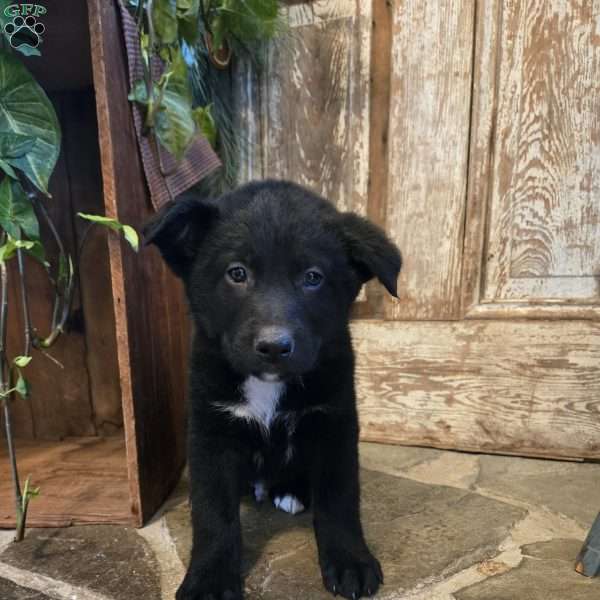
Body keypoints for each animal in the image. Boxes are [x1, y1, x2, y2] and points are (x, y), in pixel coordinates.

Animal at [143, 180, 400, 596]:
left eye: (313, 277)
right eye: (237, 273)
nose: (274, 347)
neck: (268, 386)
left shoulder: (335, 425)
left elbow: (340, 499)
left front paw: (350, 560)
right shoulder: (210, 432)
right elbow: (213, 514)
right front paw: (210, 577)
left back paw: (290, 492)